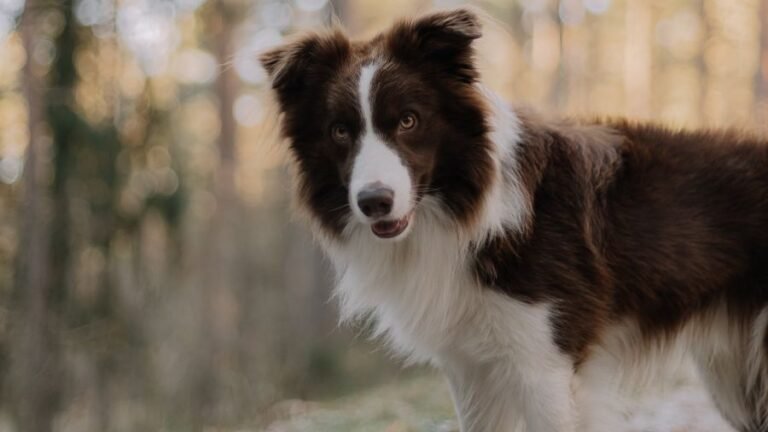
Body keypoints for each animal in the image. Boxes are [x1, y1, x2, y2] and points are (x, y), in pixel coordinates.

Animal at [260, 7, 768, 432]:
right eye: (340, 131)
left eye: (408, 120)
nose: (373, 202)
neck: (468, 210)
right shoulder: (470, 370)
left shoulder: (546, 364)